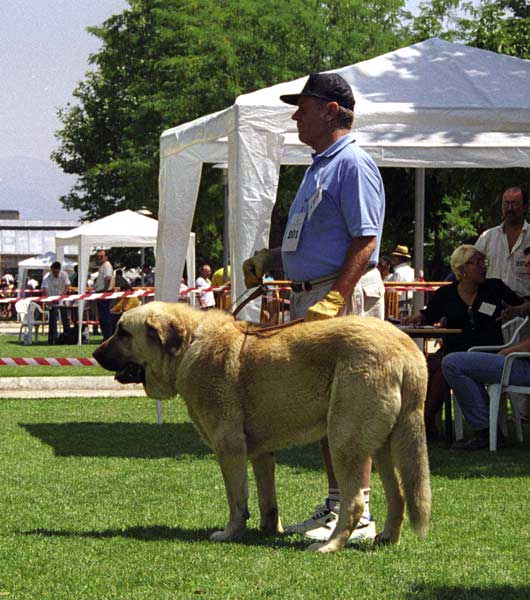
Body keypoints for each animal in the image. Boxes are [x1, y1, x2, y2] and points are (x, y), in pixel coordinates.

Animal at [92, 302, 428, 552]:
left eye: (123, 332)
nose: (94, 354)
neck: (188, 347)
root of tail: (408, 350)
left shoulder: (229, 447)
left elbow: (236, 498)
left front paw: (231, 532)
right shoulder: (260, 453)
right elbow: (268, 499)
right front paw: (269, 530)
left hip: (344, 441)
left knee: (355, 500)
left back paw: (330, 546)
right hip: (384, 444)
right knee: (399, 493)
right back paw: (386, 538)